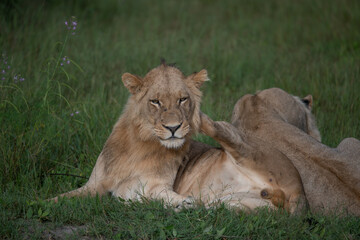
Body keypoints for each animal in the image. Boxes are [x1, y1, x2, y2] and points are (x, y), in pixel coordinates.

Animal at [51, 62, 208, 207]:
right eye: (155, 101)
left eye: (182, 99)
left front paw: (185, 202)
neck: (139, 146)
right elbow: (62, 197)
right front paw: (46, 203)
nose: (173, 127)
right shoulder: (94, 184)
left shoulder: (151, 185)